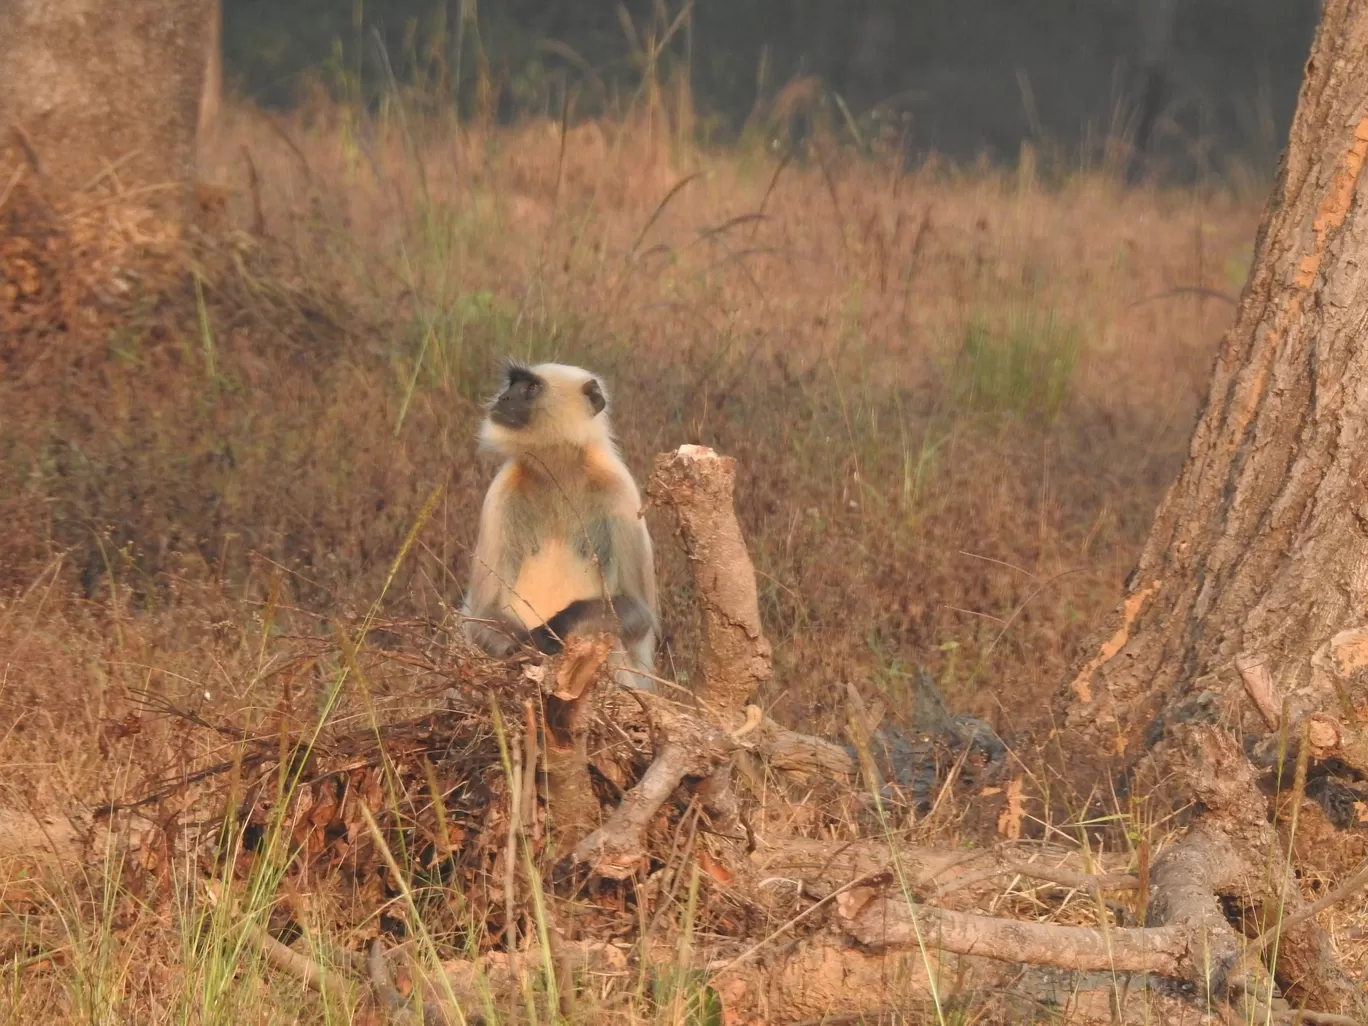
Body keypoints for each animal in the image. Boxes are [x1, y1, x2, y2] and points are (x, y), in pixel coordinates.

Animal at [459, 361, 662, 692]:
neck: (558, 472)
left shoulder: (620, 492)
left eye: (530, 388)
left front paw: (552, 631)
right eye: (512, 384)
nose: (503, 398)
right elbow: (482, 614)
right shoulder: (502, 491)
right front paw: (527, 645)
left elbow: (638, 611)